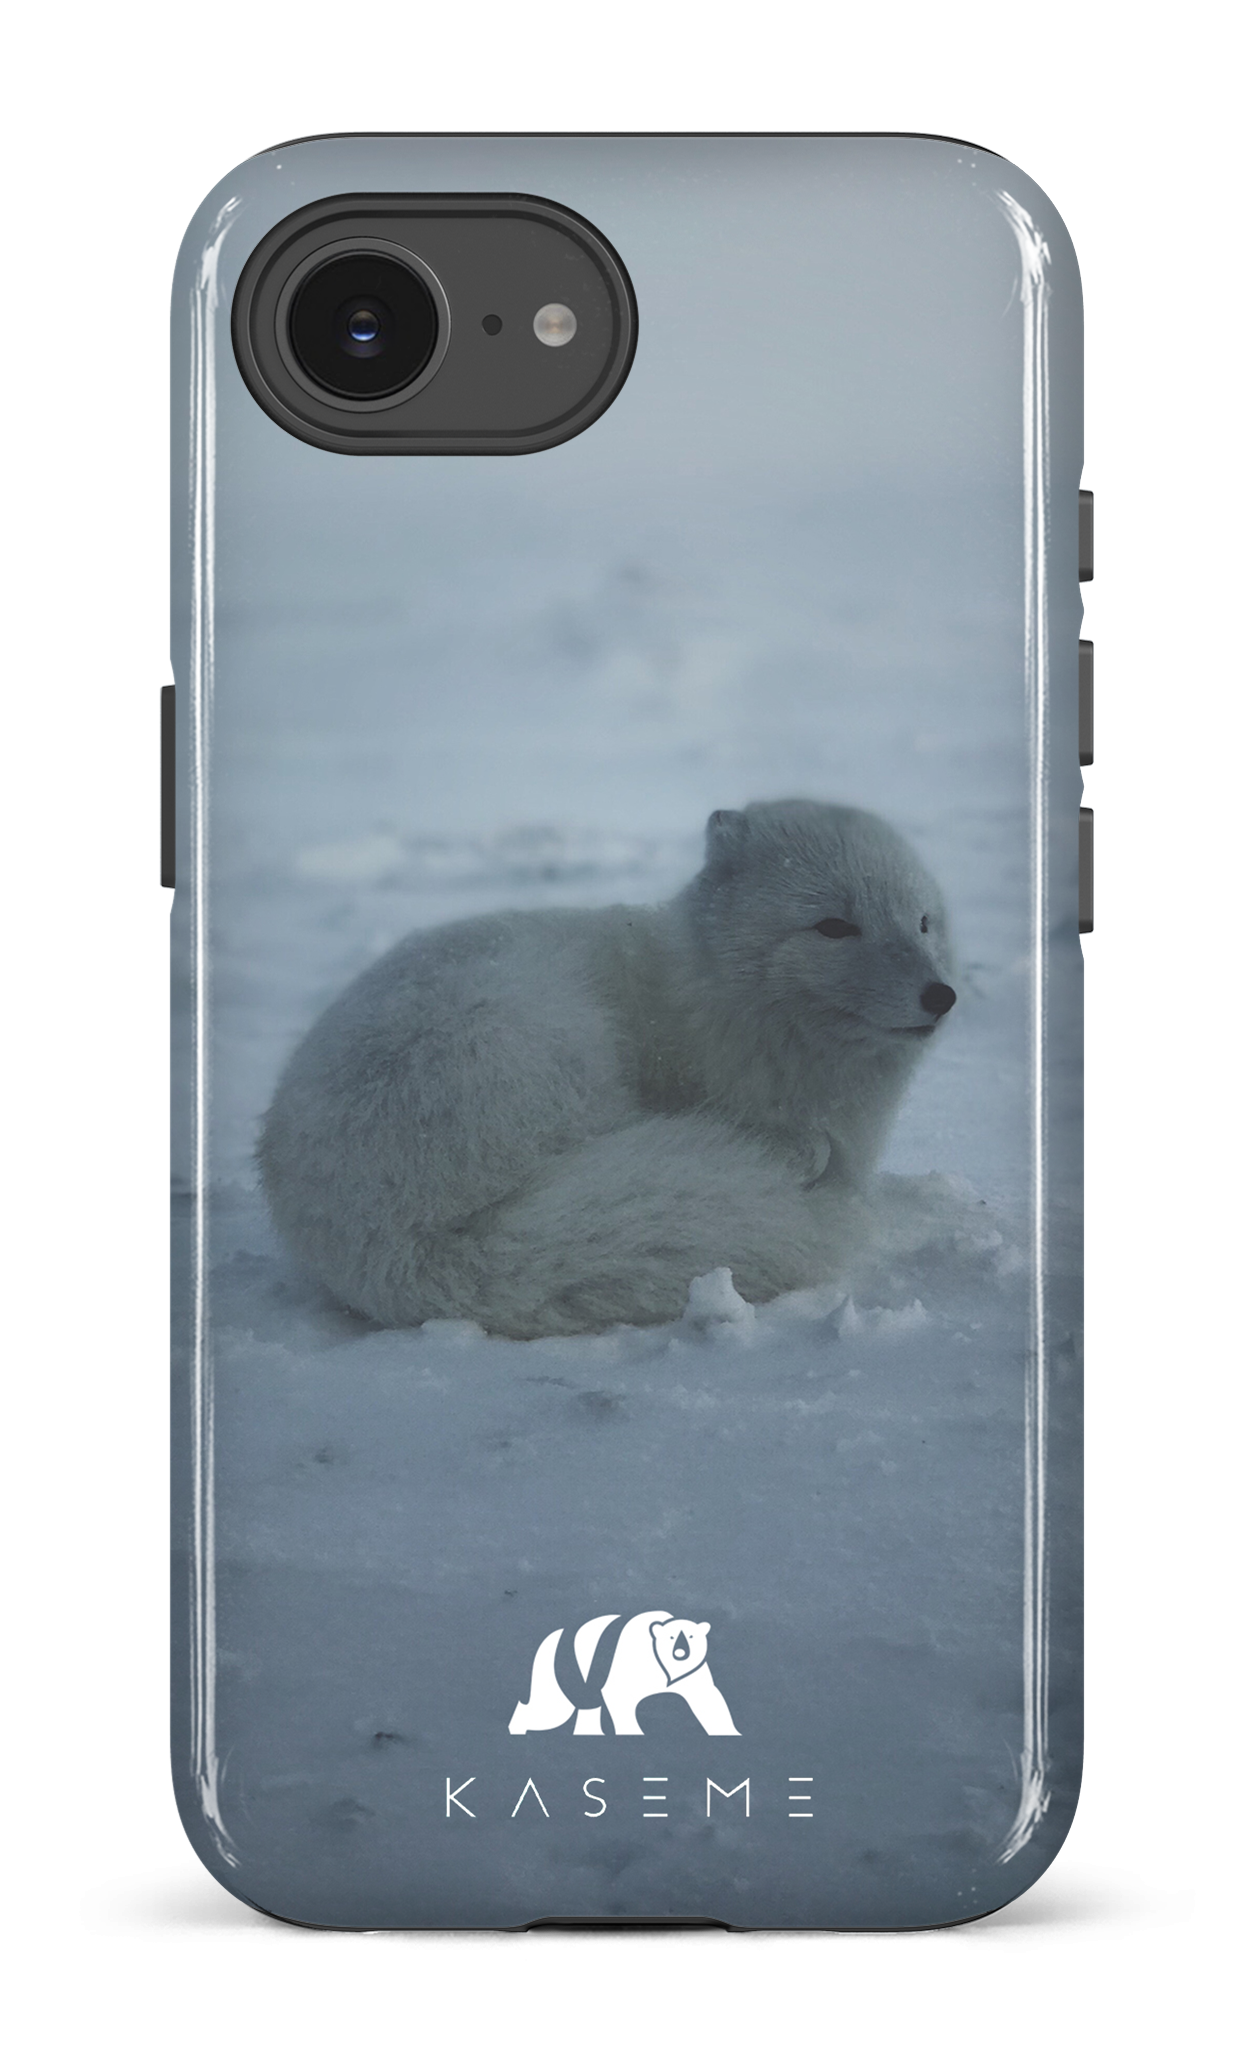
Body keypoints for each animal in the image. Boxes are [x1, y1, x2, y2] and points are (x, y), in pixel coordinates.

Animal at [258, 800, 956, 1337]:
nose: (941, 995)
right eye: (834, 926)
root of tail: (398, 1246)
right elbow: (807, 1146)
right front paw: (800, 1153)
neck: (710, 996)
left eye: (922, 922)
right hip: (540, 1040)